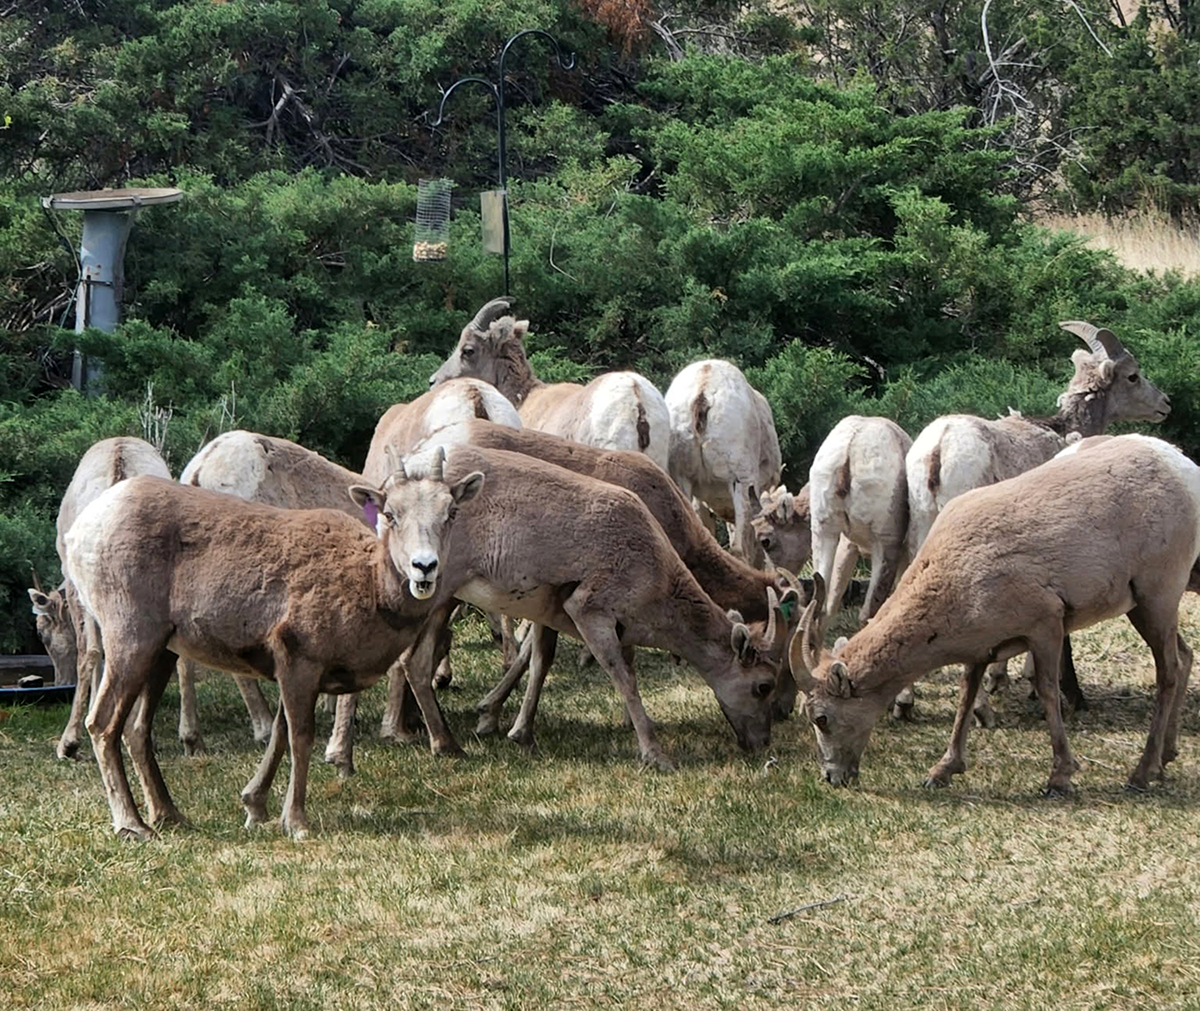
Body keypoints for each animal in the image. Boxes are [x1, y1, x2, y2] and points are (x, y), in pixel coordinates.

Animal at [63, 449, 484, 840]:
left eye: (451, 512)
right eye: (391, 514)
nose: (424, 567)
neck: (370, 589)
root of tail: (78, 534)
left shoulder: (292, 668)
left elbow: (279, 735)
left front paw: (254, 807)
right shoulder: (300, 658)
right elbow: (300, 738)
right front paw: (295, 822)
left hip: (162, 649)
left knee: (137, 729)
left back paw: (169, 815)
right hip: (130, 636)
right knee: (102, 724)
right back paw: (131, 825)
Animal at [792, 435, 1200, 796]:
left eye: (821, 718)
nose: (832, 777)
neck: (957, 572)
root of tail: (1184, 471)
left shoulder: (1046, 625)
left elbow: (1048, 692)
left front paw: (1059, 778)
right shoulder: (982, 648)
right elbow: (966, 694)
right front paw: (942, 771)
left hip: (1157, 596)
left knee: (1168, 670)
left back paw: (1141, 774)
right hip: (1147, 608)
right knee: (1183, 656)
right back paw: (1165, 760)